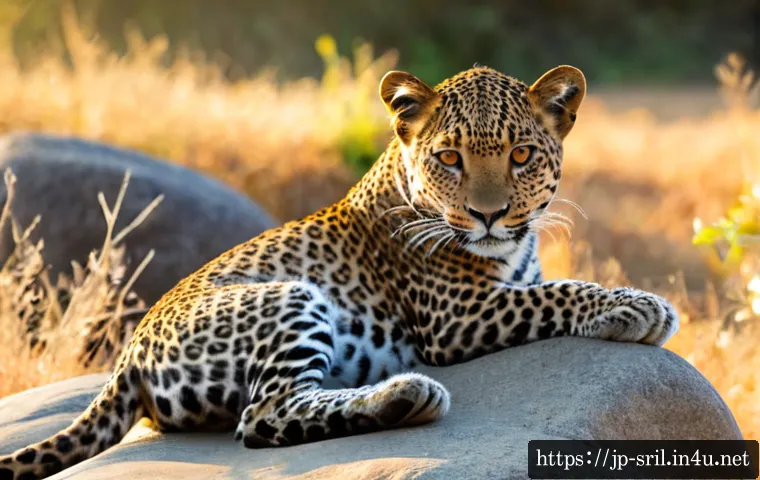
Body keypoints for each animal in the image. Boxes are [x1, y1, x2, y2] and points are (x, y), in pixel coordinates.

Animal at [0, 64, 679, 480]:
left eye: (521, 155)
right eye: (449, 158)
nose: (488, 215)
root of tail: (129, 357)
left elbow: (544, 285)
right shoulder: (456, 315)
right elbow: (557, 293)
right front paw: (637, 305)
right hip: (291, 298)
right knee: (264, 415)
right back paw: (406, 394)